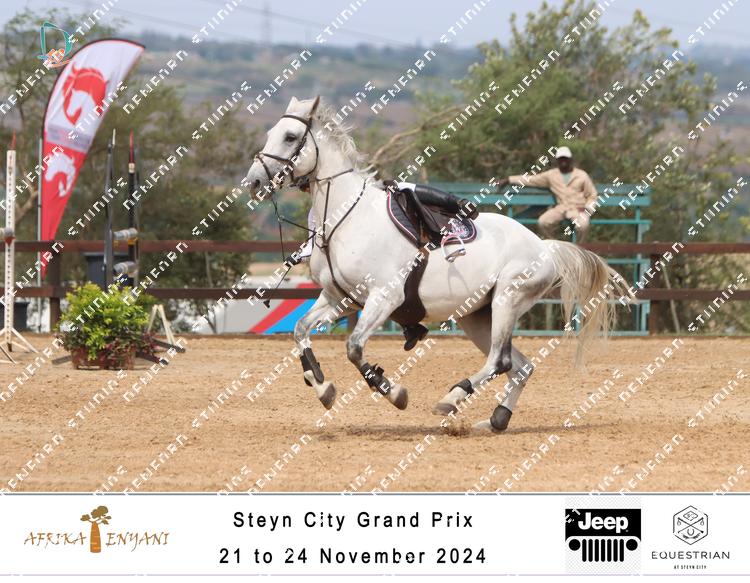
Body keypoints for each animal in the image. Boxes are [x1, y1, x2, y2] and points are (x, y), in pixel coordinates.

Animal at [244, 95, 631, 433]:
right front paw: (323, 387)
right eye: (269, 133)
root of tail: (543, 246)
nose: (254, 182)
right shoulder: (340, 299)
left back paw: (453, 397)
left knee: (501, 361)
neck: (345, 217)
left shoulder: (384, 298)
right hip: (478, 316)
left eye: (290, 137)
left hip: (508, 299)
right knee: (520, 367)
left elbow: (354, 348)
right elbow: (300, 331)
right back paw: (496, 419)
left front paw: (393, 392)